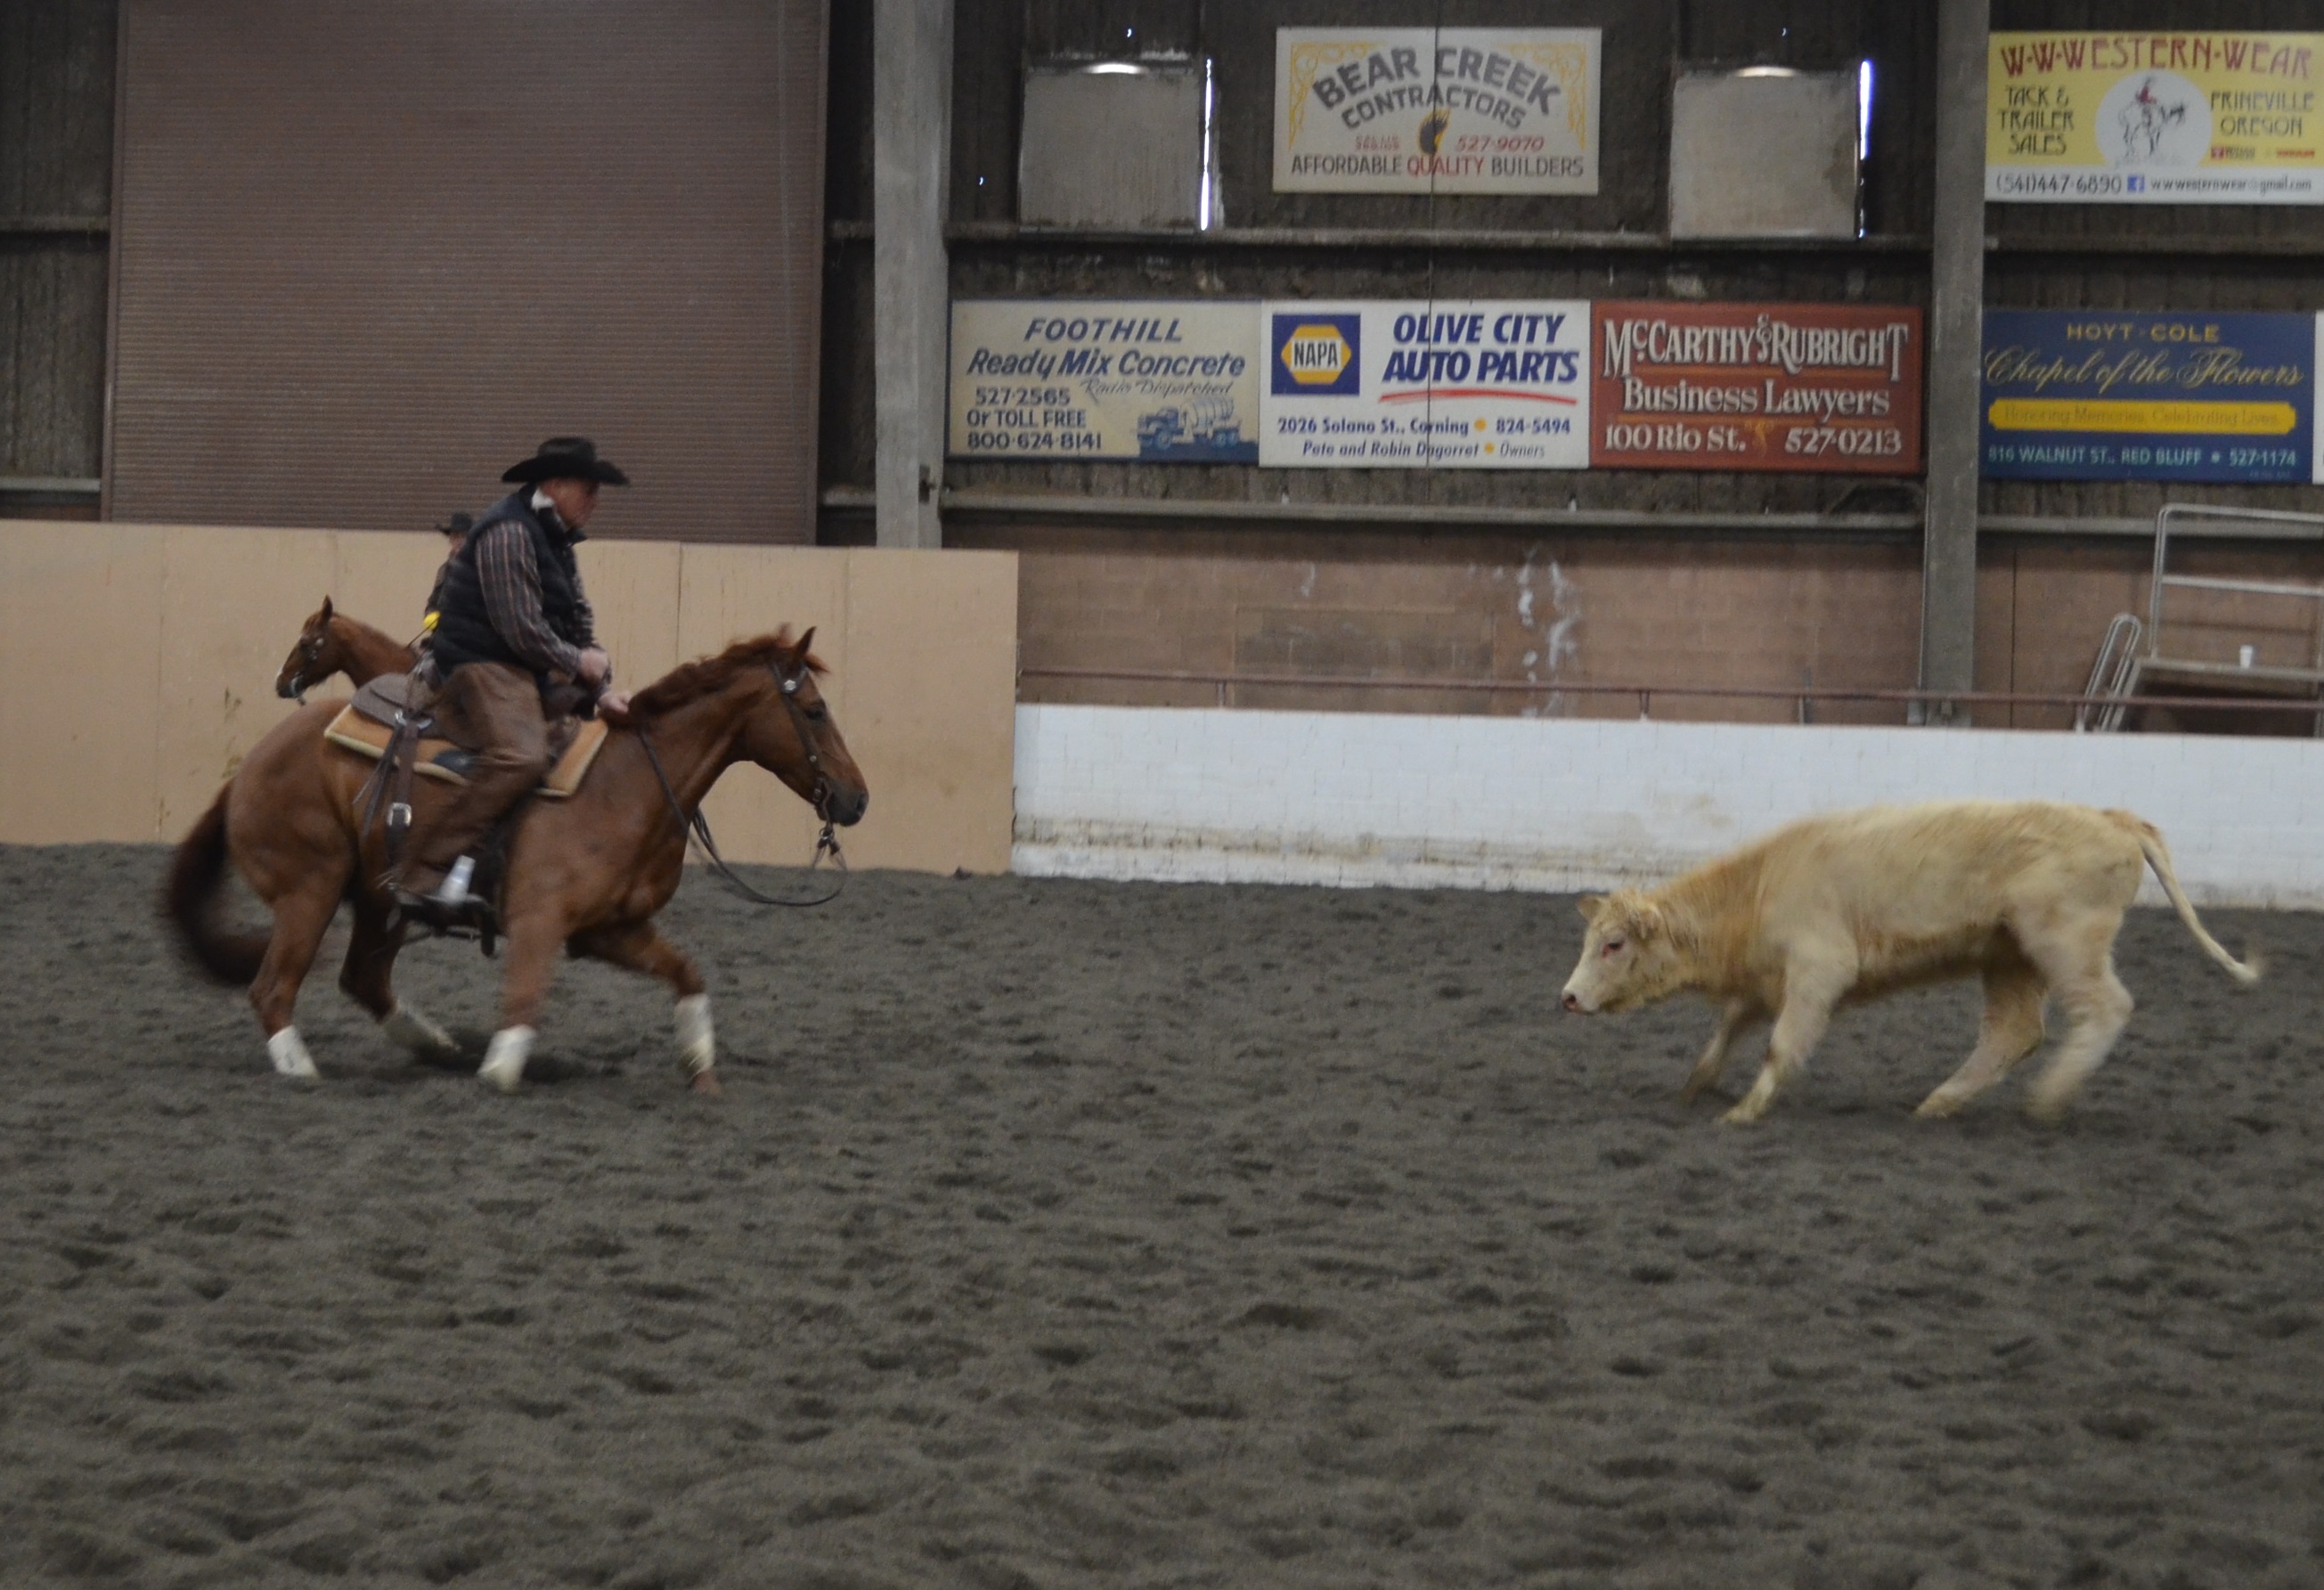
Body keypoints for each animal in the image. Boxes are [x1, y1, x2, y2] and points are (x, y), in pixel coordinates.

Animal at [166, 628, 868, 1095]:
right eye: (814, 710)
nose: (856, 798)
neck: (631, 782)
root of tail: (245, 769)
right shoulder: (539, 922)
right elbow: (521, 1014)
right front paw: (498, 1068)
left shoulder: (611, 929)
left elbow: (688, 975)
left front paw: (700, 1068)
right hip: (309, 891)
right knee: (272, 988)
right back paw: (303, 1069)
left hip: (374, 896)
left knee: (362, 980)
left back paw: (440, 1047)